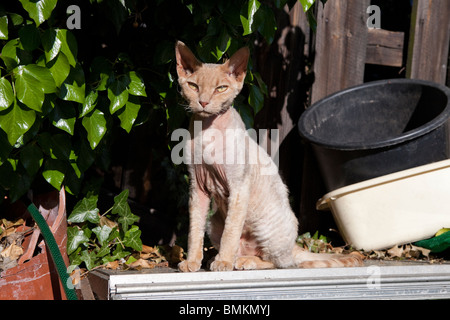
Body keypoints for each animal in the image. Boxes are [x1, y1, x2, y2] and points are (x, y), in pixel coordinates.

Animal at [174, 41, 364, 272]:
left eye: (221, 88)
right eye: (193, 86)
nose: (203, 102)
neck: (207, 131)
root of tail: (293, 245)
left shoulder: (239, 187)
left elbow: (231, 231)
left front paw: (223, 262)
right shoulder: (197, 187)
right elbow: (194, 230)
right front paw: (193, 261)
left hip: (267, 226)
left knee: (279, 262)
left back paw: (242, 261)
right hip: (214, 222)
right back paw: (224, 258)